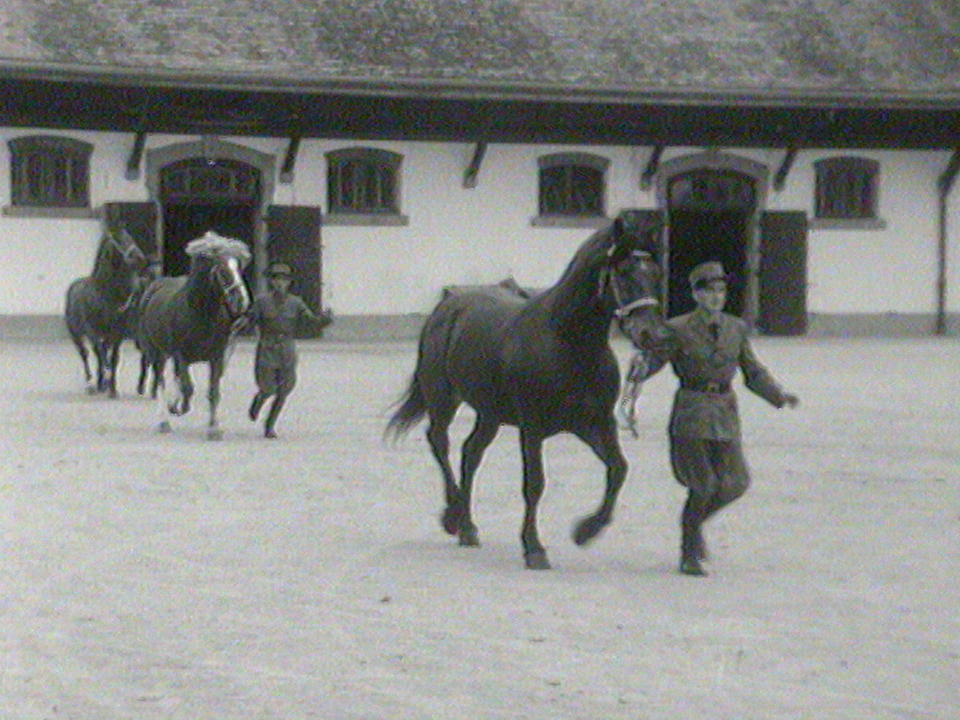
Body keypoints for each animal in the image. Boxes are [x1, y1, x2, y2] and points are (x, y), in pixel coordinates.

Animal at [64, 229, 146, 396]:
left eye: (131, 238)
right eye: (121, 240)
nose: (140, 258)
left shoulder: (117, 334)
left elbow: (113, 358)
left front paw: (112, 388)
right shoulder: (92, 332)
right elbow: (101, 355)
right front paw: (105, 382)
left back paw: (101, 384)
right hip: (76, 334)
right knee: (86, 354)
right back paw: (91, 384)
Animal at [139, 233, 253, 442]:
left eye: (239, 267)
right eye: (223, 270)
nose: (242, 302)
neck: (201, 314)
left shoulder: (217, 357)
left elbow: (213, 392)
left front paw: (213, 429)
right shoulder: (181, 355)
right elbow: (188, 388)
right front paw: (178, 408)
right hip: (156, 353)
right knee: (161, 382)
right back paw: (164, 422)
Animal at [386, 212, 672, 568]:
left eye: (655, 273)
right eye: (624, 272)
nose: (655, 335)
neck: (568, 344)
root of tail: (449, 304)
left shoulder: (594, 423)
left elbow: (619, 469)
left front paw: (586, 531)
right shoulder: (533, 428)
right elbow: (535, 483)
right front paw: (534, 548)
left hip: (490, 413)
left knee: (471, 452)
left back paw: (467, 527)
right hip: (443, 399)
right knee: (440, 443)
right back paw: (453, 516)